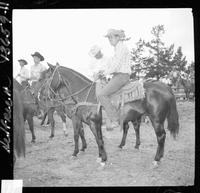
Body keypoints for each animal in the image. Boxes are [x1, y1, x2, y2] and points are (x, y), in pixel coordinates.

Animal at [39, 63, 180, 166]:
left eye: (45, 78)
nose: (40, 95)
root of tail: (165, 87)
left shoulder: (89, 121)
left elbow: (87, 137)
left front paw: (98, 158)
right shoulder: (91, 122)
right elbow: (97, 138)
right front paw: (99, 156)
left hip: (156, 119)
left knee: (161, 136)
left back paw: (156, 159)